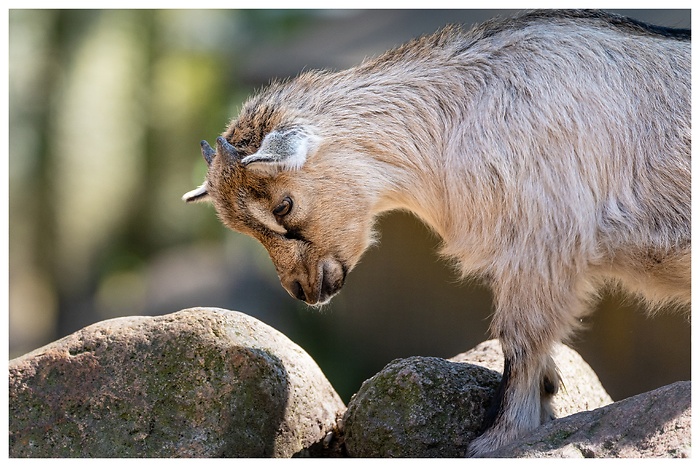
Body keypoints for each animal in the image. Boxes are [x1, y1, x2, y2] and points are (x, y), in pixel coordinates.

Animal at [182, 10, 688, 458]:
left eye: (282, 205)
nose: (302, 290)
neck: (456, 119)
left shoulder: (539, 246)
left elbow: (520, 341)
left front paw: (499, 439)